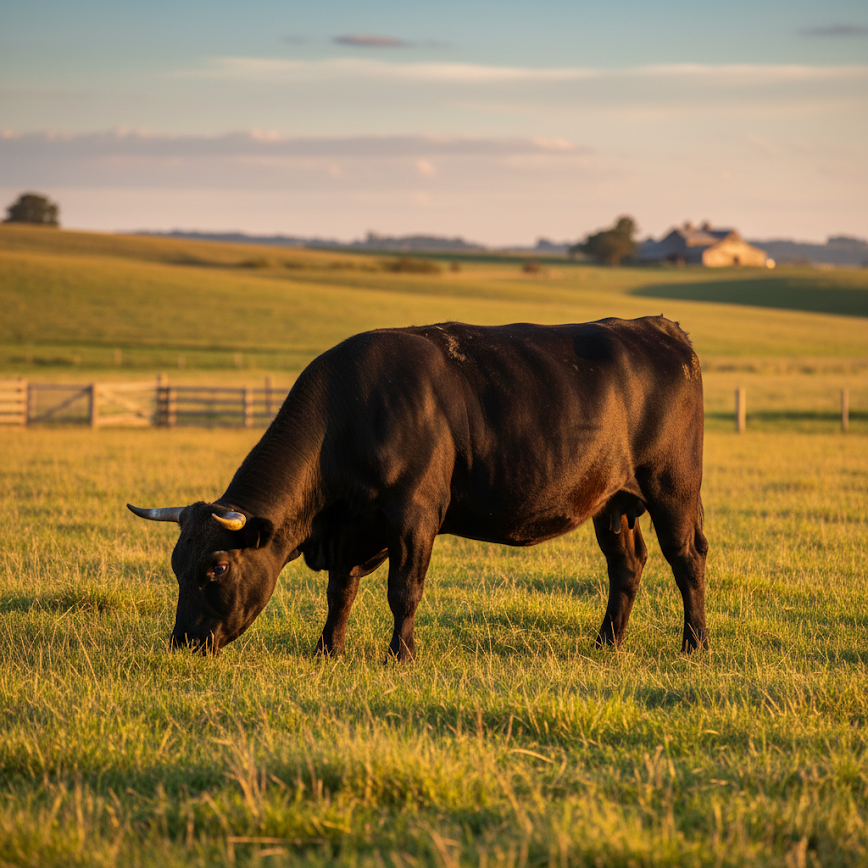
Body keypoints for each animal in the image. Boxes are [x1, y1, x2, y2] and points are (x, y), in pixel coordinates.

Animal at [128, 317, 708, 660]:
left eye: (217, 568)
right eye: (176, 565)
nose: (183, 642)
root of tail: (657, 327)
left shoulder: (415, 516)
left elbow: (403, 590)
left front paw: (400, 655)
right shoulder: (351, 529)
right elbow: (340, 593)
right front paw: (327, 650)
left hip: (673, 487)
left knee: (687, 558)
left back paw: (695, 643)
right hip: (613, 501)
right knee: (626, 564)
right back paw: (607, 643)